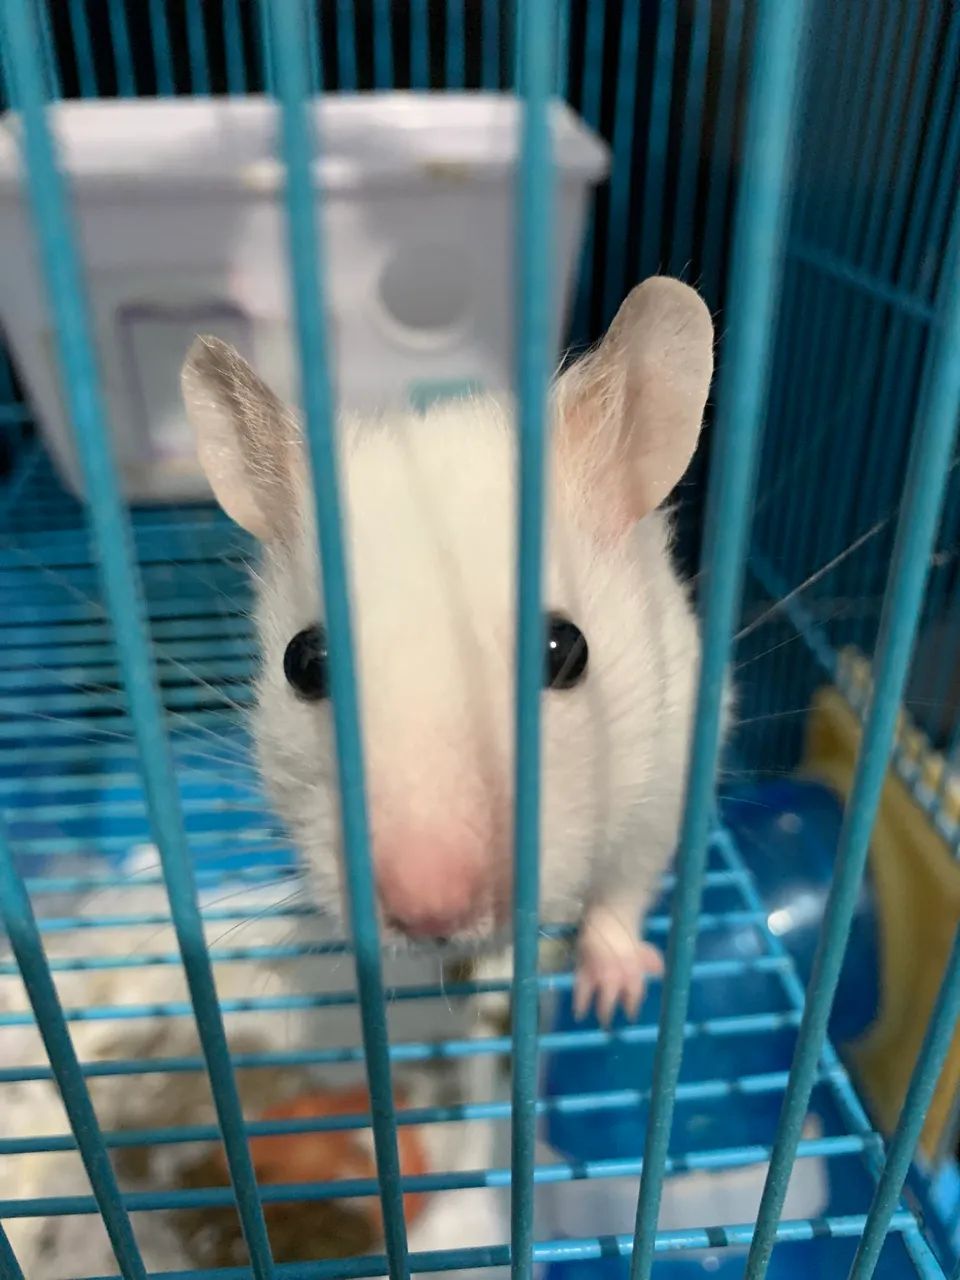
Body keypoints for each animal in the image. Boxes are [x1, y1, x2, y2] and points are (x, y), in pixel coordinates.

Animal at [180, 276, 715, 1026]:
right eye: (303, 663)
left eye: (565, 651)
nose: (430, 914)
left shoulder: (670, 770)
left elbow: (621, 892)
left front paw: (609, 1001)